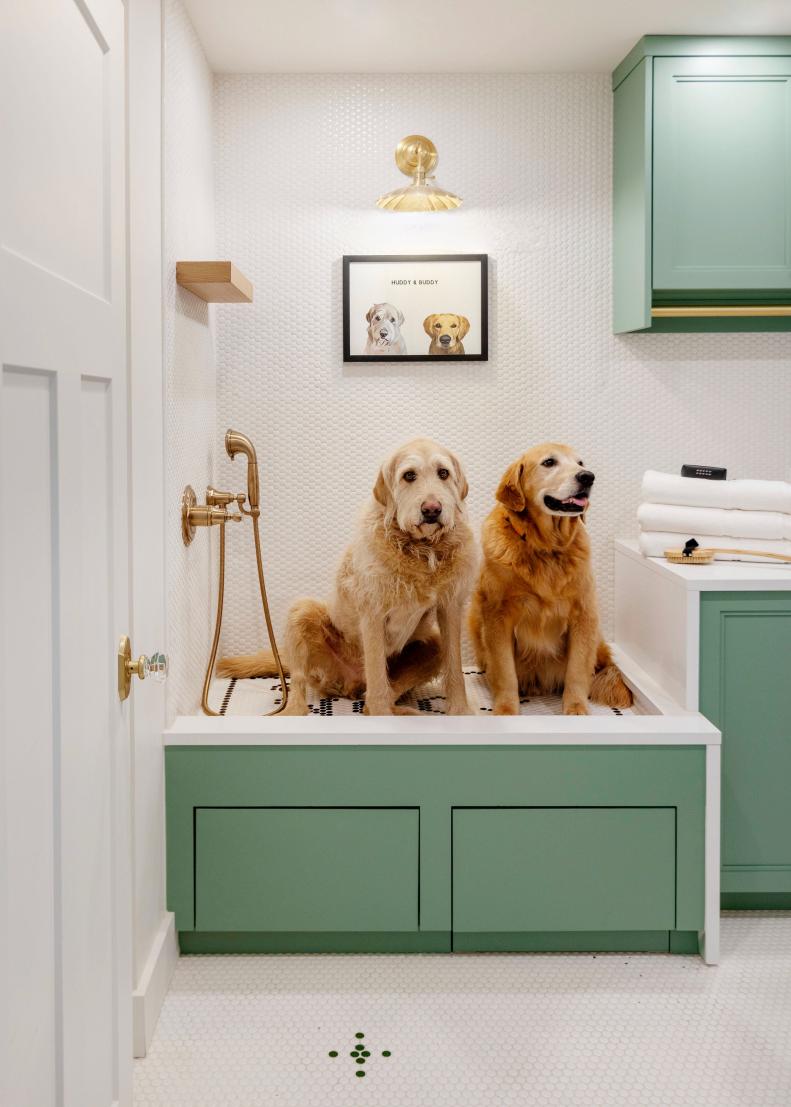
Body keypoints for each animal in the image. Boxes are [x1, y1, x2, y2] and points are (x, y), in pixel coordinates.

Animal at [217, 438, 475, 717]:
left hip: (432, 644)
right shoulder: (373, 616)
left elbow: (455, 669)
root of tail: (350, 684)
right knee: (301, 680)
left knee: (377, 695)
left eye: (443, 473)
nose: (432, 510)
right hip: (304, 614)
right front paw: (383, 718)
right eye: (409, 475)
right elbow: (377, 677)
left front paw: (461, 711)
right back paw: (295, 709)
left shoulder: (450, 608)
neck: (421, 551)